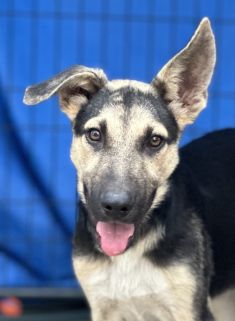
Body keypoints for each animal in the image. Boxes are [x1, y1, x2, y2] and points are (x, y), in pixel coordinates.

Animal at [24, 18, 235, 320]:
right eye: (95, 134)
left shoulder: (191, 308)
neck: (130, 253)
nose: (115, 206)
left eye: (155, 140)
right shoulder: (102, 307)